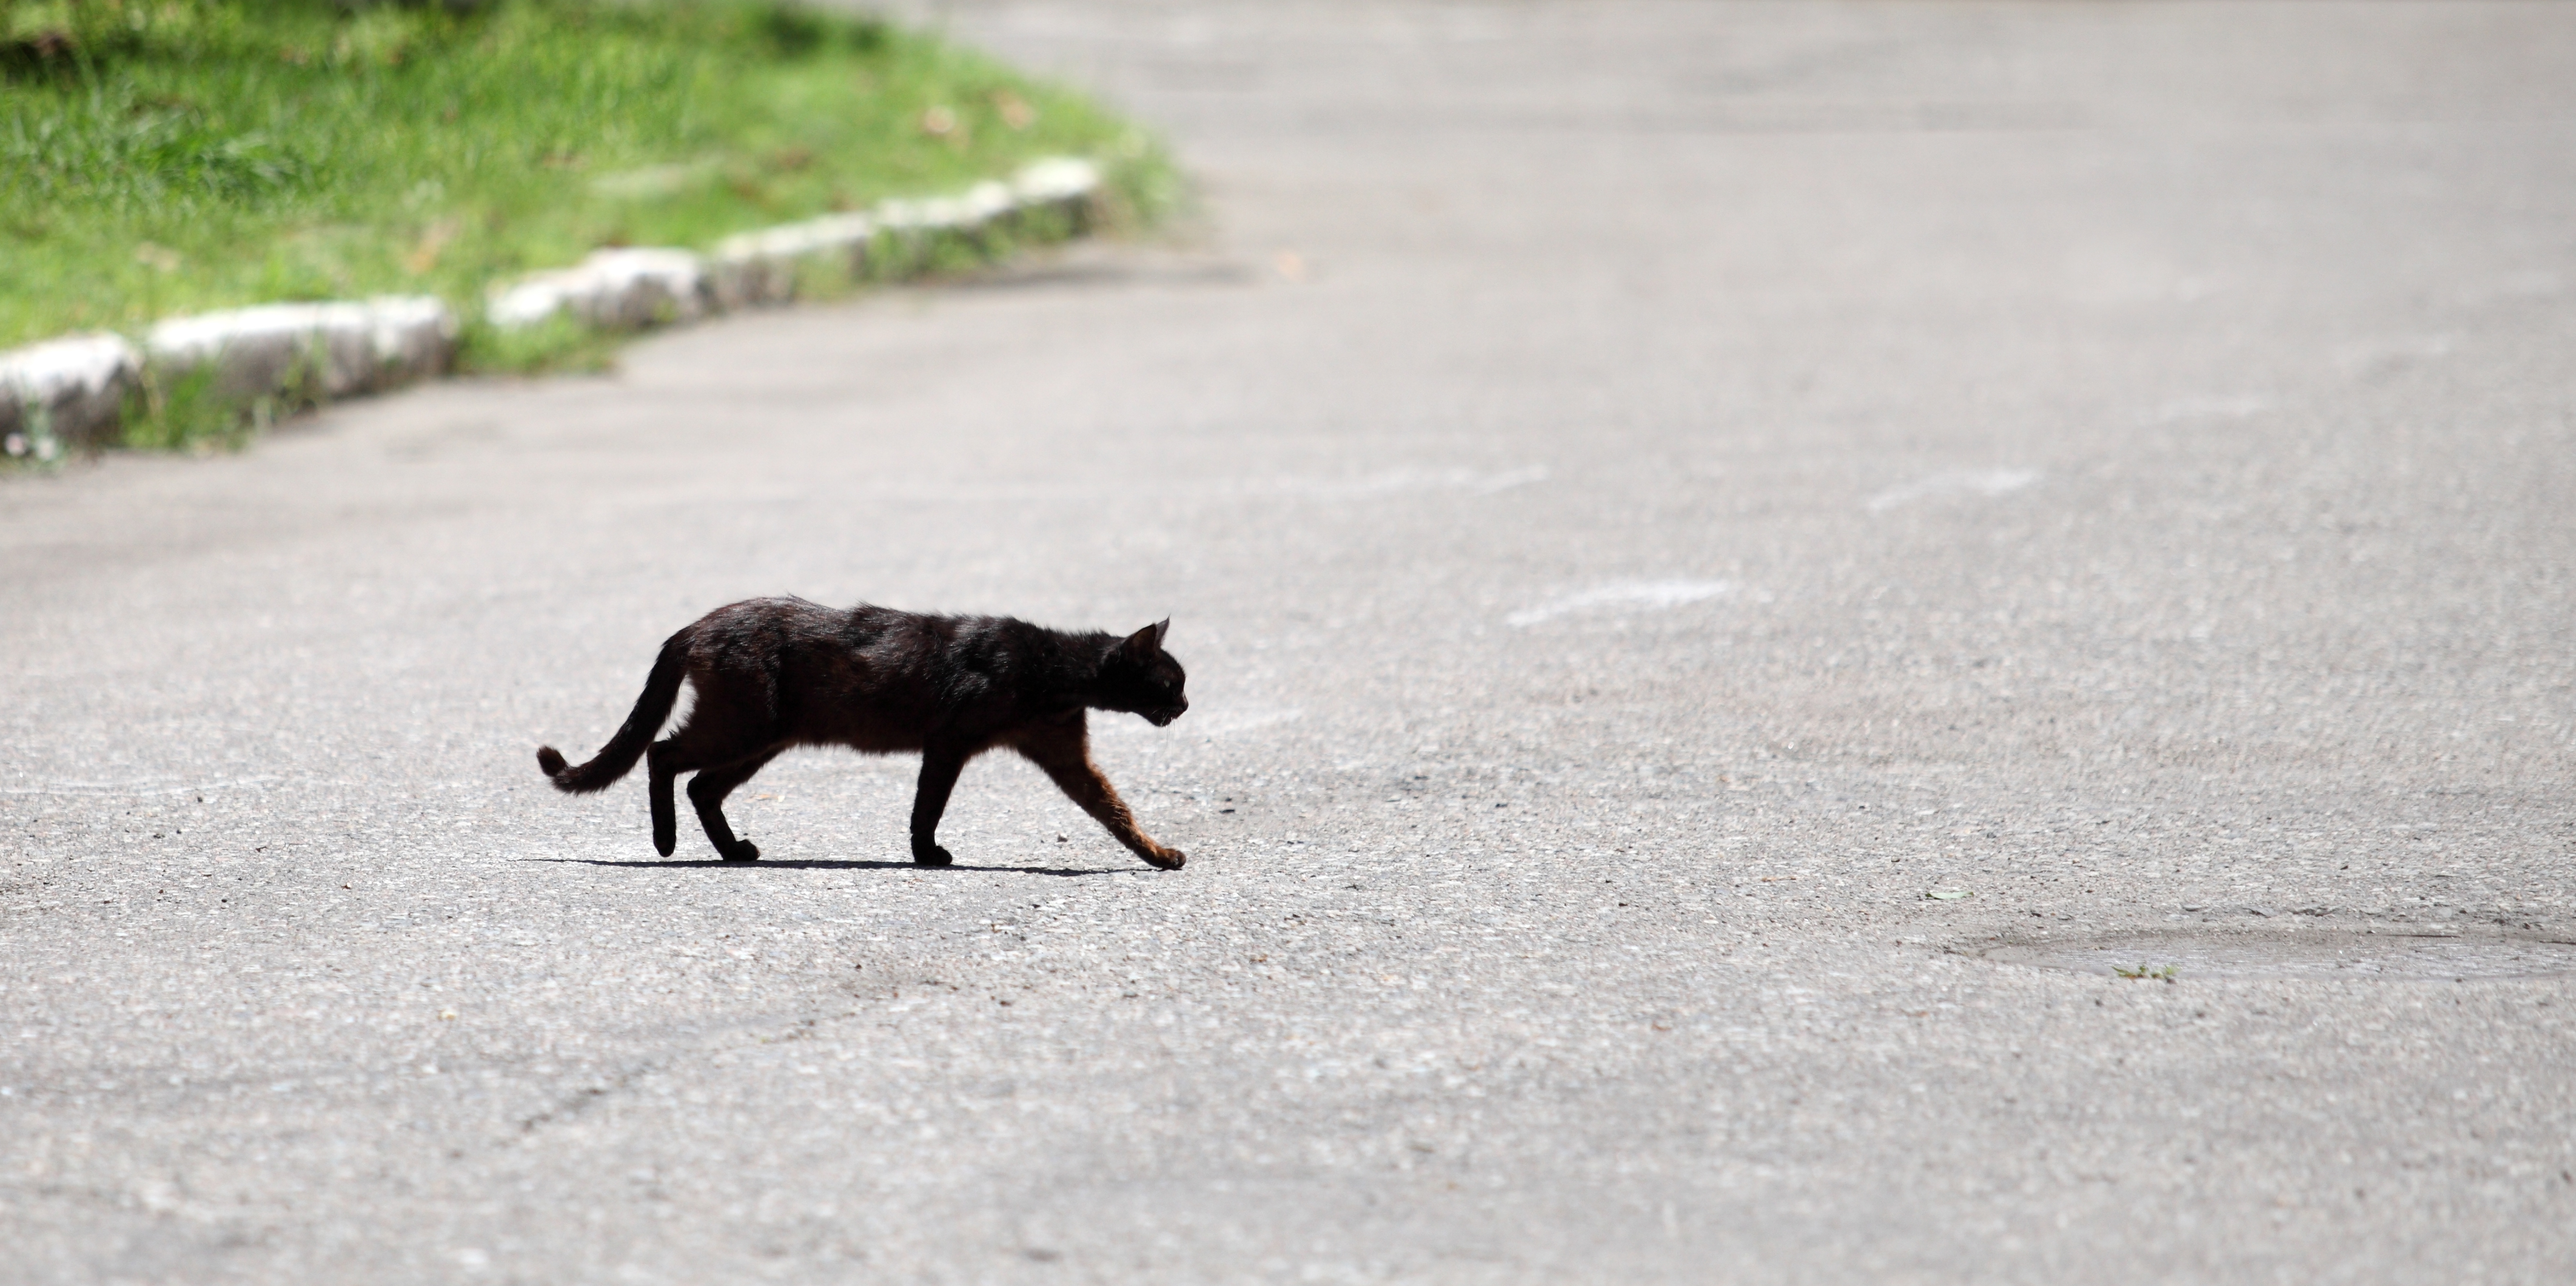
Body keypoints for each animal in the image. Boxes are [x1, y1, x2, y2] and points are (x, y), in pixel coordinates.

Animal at [541, 598, 1195, 870]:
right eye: (1171, 682)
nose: (1188, 704)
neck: (1055, 673)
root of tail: (697, 623)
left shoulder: (1067, 758)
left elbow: (1117, 812)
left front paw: (1159, 854)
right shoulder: (949, 743)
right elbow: (928, 806)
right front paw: (927, 855)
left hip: (763, 738)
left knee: (701, 784)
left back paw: (733, 851)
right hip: (744, 726)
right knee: (661, 753)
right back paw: (665, 842)